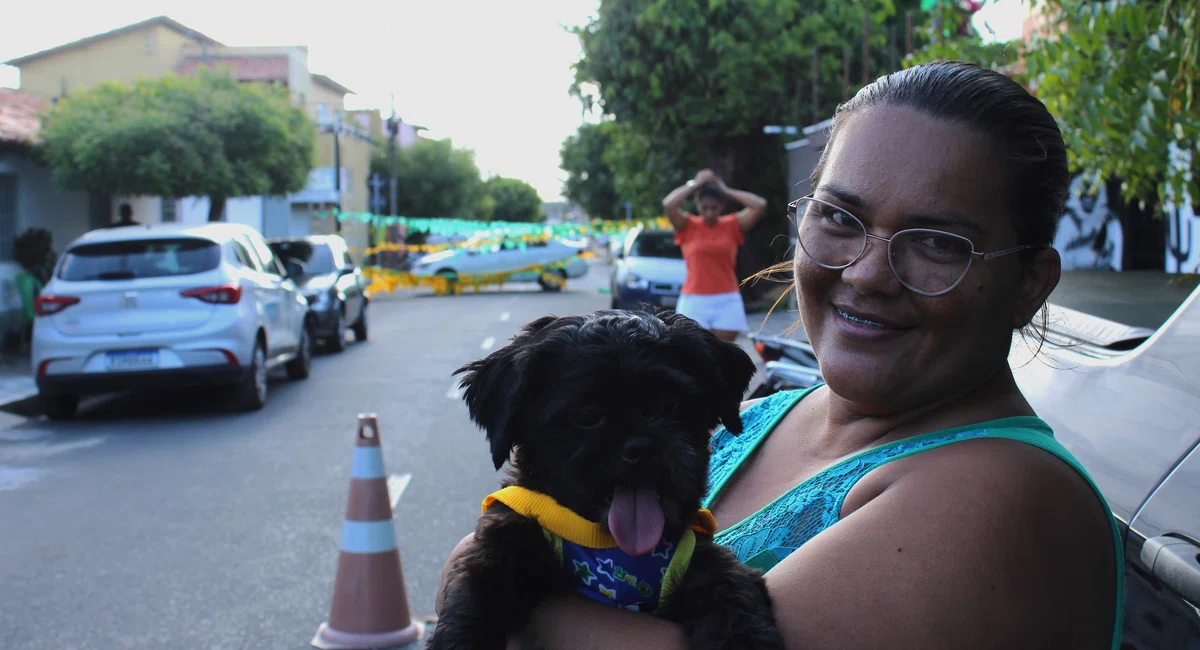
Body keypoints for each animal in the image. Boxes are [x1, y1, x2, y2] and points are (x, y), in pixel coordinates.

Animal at [432, 311, 787, 650]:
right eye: (586, 416)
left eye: (673, 406)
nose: (642, 446)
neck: (612, 547)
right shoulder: (502, 547)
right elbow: (474, 600)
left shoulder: (698, 562)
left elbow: (733, 596)